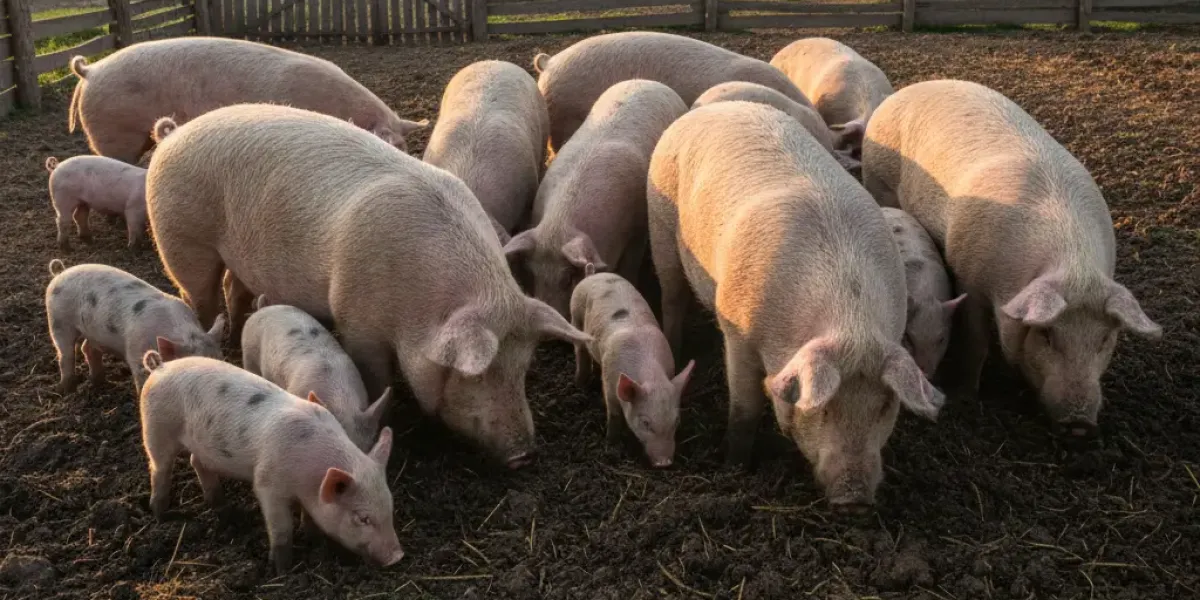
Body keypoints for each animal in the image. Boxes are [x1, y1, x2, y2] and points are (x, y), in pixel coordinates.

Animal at [44, 259, 225, 394]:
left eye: (222, 360)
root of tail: (60, 273)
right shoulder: (137, 355)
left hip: (93, 331)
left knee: (87, 348)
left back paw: (99, 381)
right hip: (58, 321)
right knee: (66, 355)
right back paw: (66, 389)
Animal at [139, 353, 403, 573]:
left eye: (390, 507)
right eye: (363, 518)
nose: (397, 556)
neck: (309, 477)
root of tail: (160, 367)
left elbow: (309, 518)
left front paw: (314, 539)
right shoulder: (267, 484)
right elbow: (281, 528)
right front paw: (281, 570)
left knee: (196, 461)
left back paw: (225, 509)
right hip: (155, 428)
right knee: (159, 468)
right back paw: (162, 515)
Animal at [504, 80, 688, 316]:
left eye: (568, 278)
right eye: (532, 273)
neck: (559, 224)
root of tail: (649, 82)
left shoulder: (636, 231)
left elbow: (630, 265)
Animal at [570, 270, 695, 467]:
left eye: (676, 421)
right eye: (645, 423)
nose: (665, 462)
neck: (651, 374)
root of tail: (594, 274)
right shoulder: (610, 385)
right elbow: (613, 414)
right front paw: (611, 443)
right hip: (575, 312)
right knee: (580, 349)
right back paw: (580, 383)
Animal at [648, 101, 943, 511]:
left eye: (886, 407)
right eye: (825, 407)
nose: (854, 497)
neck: (850, 322)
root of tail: (712, 107)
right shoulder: (737, 329)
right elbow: (745, 408)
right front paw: (733, 467)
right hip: (659, 222)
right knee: (672, 295)